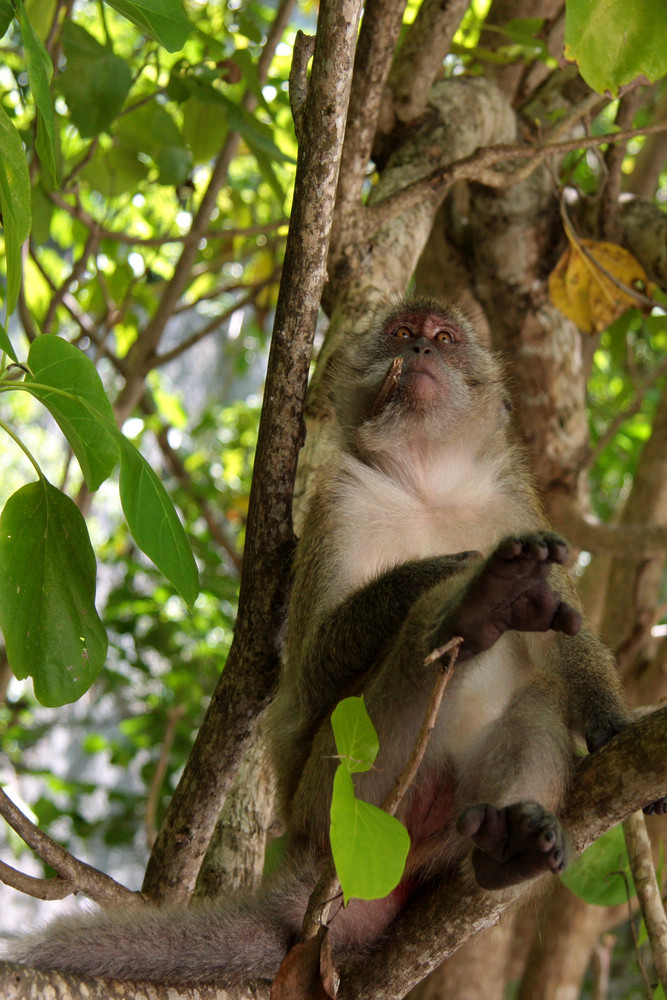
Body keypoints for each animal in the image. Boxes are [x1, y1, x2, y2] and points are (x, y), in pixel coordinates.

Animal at [10, 296, 664, 984]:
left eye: (445, 339)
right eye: (401, 333)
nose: (419, 350)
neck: (427, 483)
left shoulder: (514, 503)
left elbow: (568, 645)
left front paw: (611, 725)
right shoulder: (339, 505)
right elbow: (313, 671)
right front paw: (448, 574)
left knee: (537, 699)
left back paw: (507, 848)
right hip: (336, 801)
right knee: (403, 668)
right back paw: (469, 611)